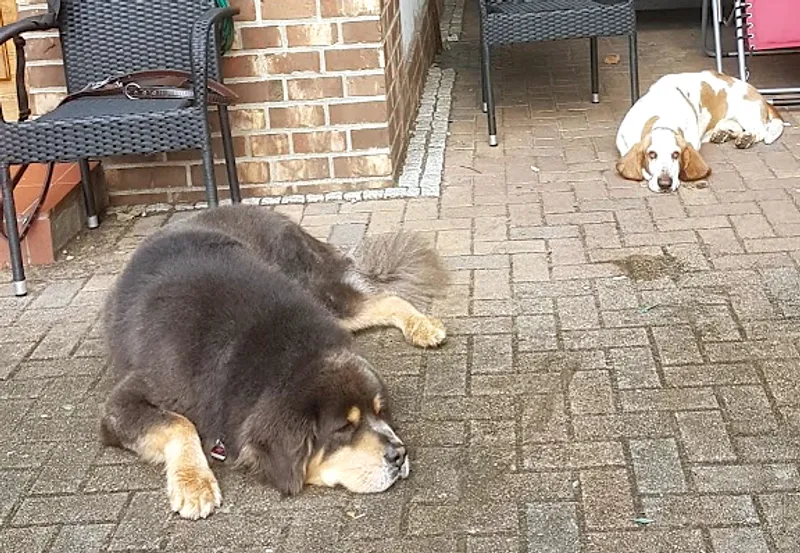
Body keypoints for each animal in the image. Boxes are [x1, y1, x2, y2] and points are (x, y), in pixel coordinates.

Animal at [100, 205, 448, 519]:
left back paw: (423, 326)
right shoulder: (122, 403)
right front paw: (194, 484)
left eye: (380, 412)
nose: (399, 454)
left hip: (318, 291)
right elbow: (179, 424)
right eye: (343, 428)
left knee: (387, 297)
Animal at [616, 70, 784, 193]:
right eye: (652, 154)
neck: (662, 117)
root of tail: (759, 95)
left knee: (761, 130)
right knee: (735, 127)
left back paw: (746, 138)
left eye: (676, 155)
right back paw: (722, 134)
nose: (665, 183)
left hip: (747, 114)